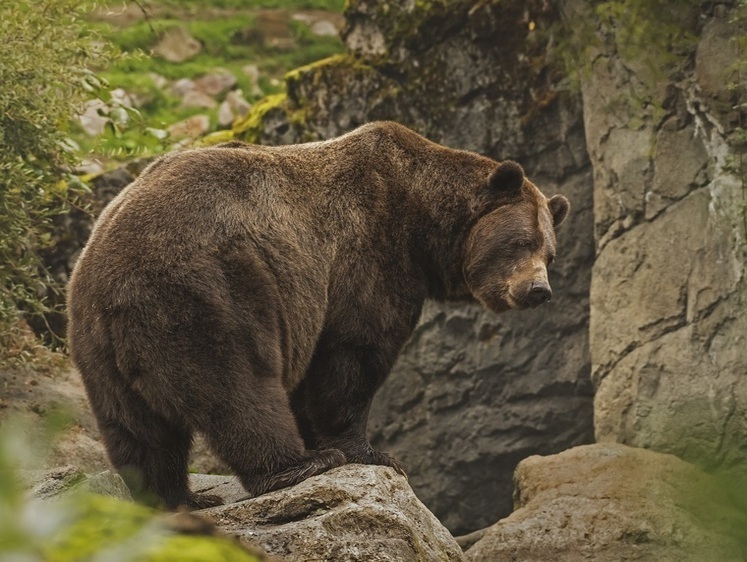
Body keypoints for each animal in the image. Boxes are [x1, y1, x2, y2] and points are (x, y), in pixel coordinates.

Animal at [67, 122, 568, 508]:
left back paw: (178, 497)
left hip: (95, 342)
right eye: (520, 243)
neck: (422, 222)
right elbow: (353, 355)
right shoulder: (367, 253)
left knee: (137, 429)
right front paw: (370, 452)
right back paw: (296, 466)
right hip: (207, 290)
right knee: (237, 385)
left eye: (549, 252)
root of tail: (113, 285)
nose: (538, 291)